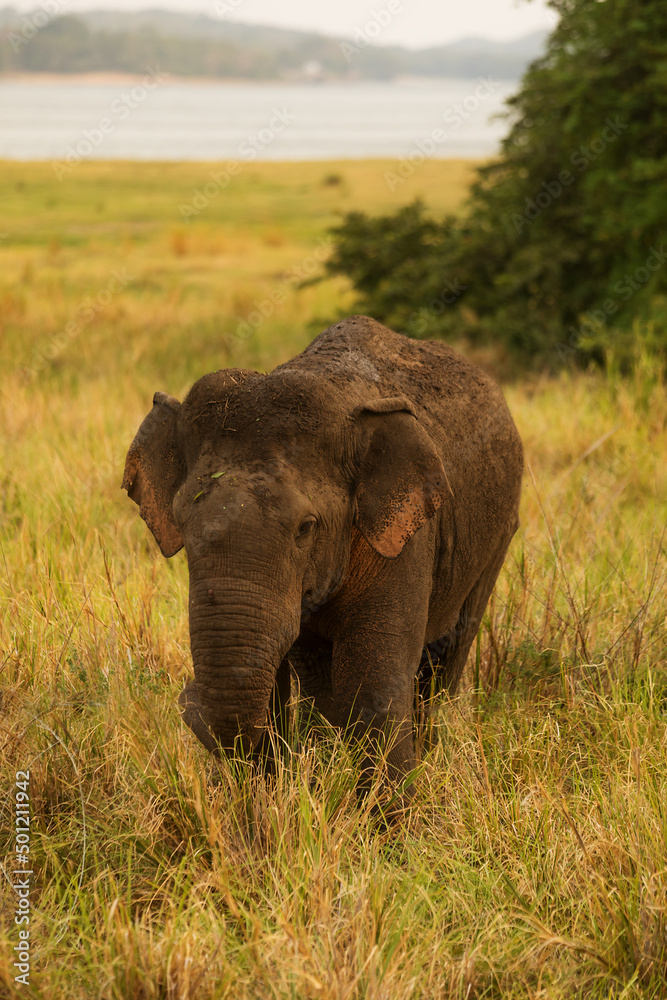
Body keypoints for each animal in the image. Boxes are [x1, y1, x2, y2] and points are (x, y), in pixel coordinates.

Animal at [122, 315, 523, 799]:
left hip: (500, 528)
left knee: (450, 651)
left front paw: (390, 817)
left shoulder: (402, 537)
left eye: (305, 528)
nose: (187, 696)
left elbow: (371, 683)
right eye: (180, 521)